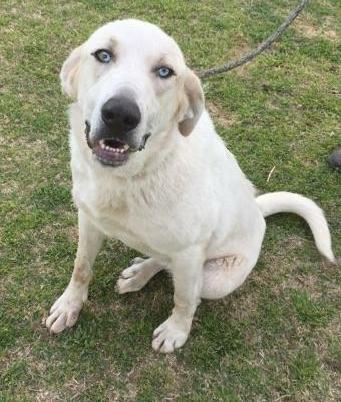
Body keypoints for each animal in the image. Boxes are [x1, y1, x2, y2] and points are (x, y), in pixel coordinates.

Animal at [43, 19, 334, 352]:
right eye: (103, 54)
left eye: (164, 71)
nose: (120, 114)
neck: (128, 179)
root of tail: (257, 209)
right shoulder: (89, 219)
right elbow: (81, 267)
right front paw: (70, 305)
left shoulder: (190, 252)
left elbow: (184, 299)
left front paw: (176, 331)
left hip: (215, 278)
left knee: (185, 282)